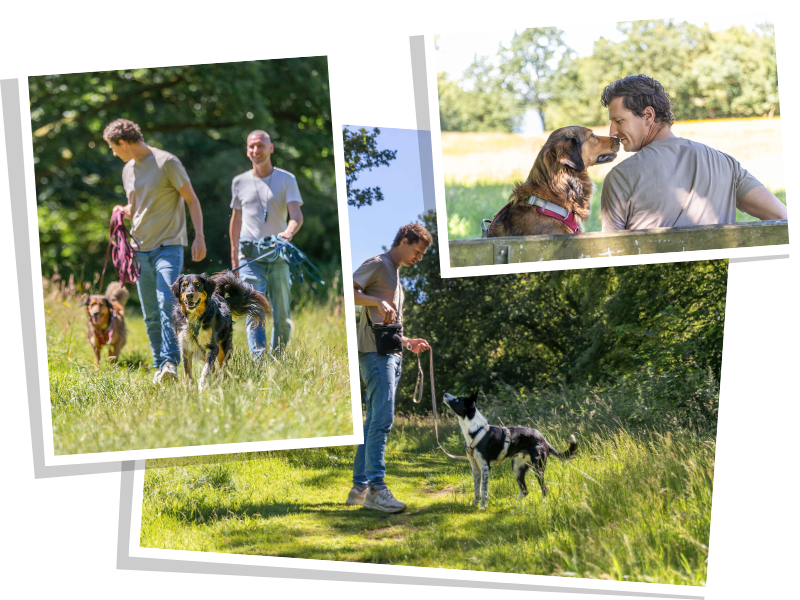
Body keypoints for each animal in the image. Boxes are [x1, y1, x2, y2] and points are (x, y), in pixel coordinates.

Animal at [444, 392, 576, 508]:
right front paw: (473, 505)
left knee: (543, 489)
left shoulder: (485, 467)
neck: (475, 429)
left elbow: (484, 491)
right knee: (525, 491)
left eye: (457, 399)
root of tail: (543, 439)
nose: (445, 394)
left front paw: (482, 507)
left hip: (538, 468)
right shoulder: (475, 467)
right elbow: (477, 491)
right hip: (517, 467)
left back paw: (543, 502)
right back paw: (514, 504)